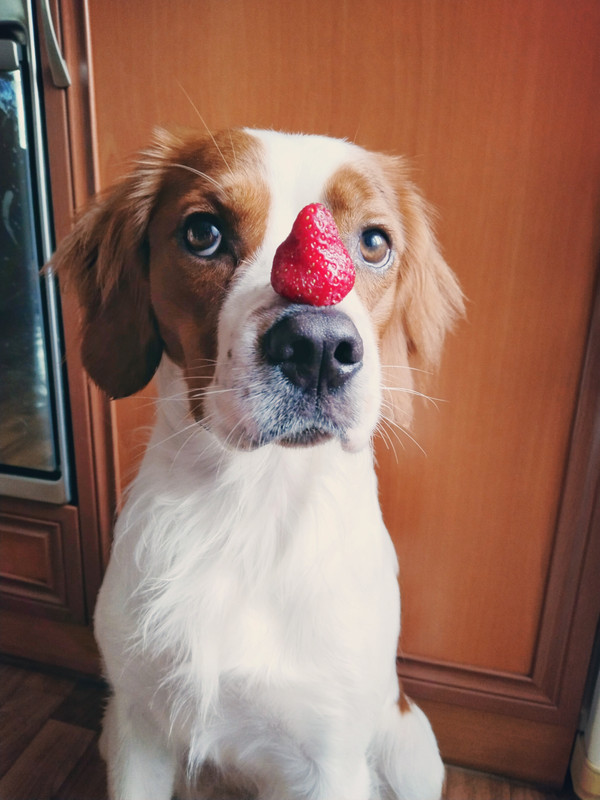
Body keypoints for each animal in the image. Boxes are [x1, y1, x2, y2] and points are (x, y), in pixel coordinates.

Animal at [53, 128, 464, 800]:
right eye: (202, 231)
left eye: (374, 242)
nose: (317, 346)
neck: (248, 509)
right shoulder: (138, 728)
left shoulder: (331, 760)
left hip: (414, 752)